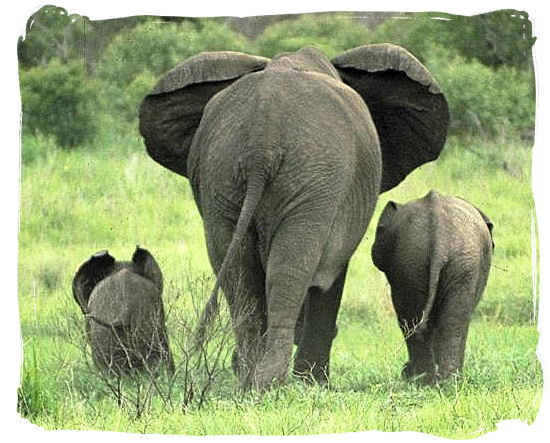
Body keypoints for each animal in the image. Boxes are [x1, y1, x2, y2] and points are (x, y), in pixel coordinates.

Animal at [140, 44, 450, 392]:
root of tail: (262, 140)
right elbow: (329, 276)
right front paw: (315, 383)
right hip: (313, 180)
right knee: (289, 268)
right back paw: (270, 382)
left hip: (222, 175)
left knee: (239, 272)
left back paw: (249, 381)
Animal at [370, 191, 496, 386]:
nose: (404, 370)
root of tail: (440, 237)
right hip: (419, 260)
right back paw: (433, 381)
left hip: (424, 260)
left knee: (433, 320)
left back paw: (436, 381)